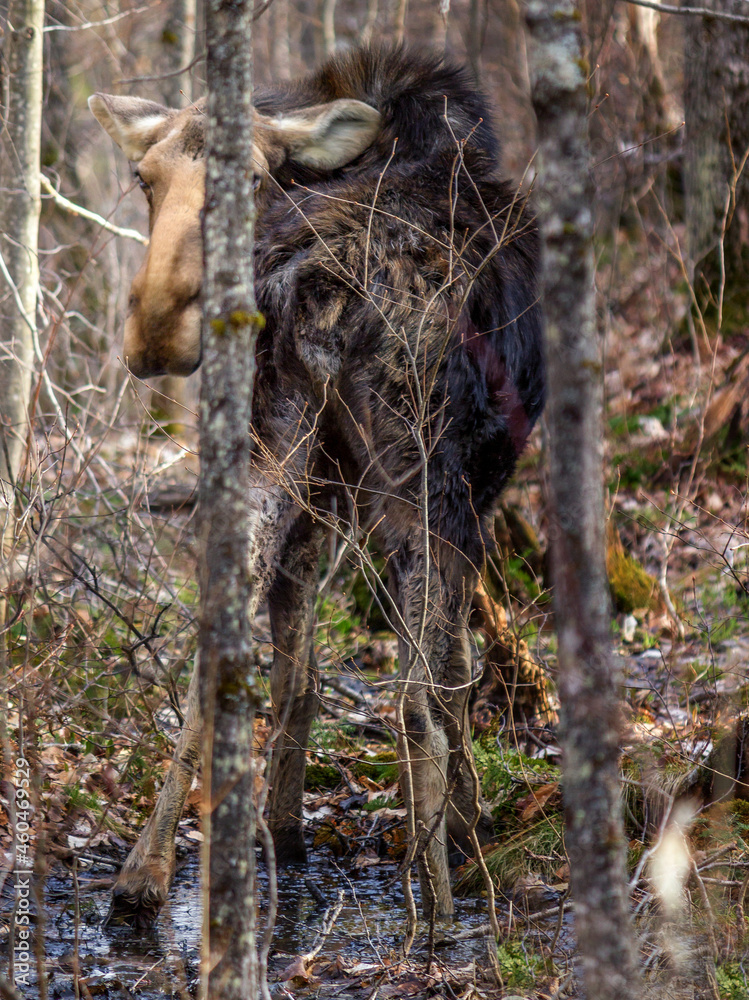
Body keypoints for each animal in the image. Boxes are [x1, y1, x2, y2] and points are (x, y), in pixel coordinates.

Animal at [89, 44, 544, 929]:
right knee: (413, 696)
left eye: (254, 176)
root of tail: (320, 278)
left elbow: (295, 668)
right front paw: (467, 829)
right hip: (418, 471)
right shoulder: (471, 482)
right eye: (141, 177)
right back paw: (437, 910)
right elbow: (456, 664)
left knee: (220, 635)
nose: (155, 327)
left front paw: (284, 823)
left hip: (275, 439)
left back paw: (142, 872)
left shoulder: (325, 481)